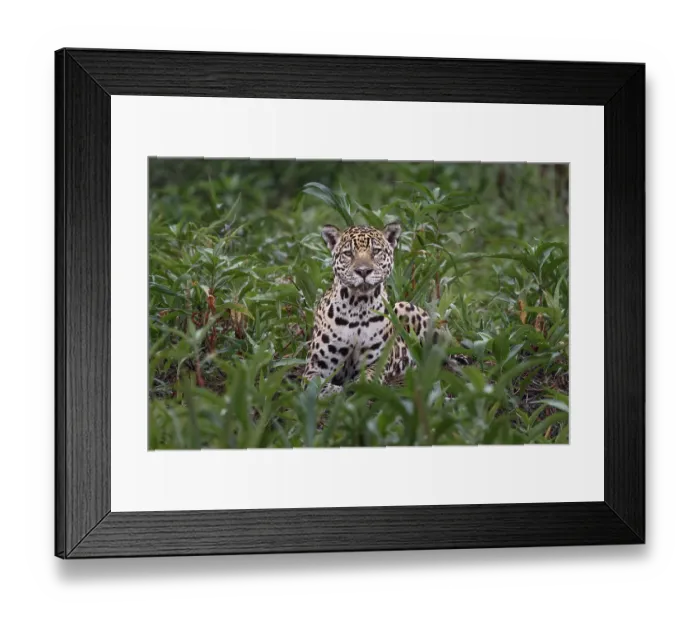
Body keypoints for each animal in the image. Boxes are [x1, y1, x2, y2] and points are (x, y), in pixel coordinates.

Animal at [302, 222, 468, 397]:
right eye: (348, 253)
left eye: (376, 251)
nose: (363, 271)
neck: (358, 305)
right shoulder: (315, 366)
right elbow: (317, 385)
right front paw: (334, 390)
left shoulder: (376, 363)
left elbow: (365, 381)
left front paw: (353, 389)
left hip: (407, 308)